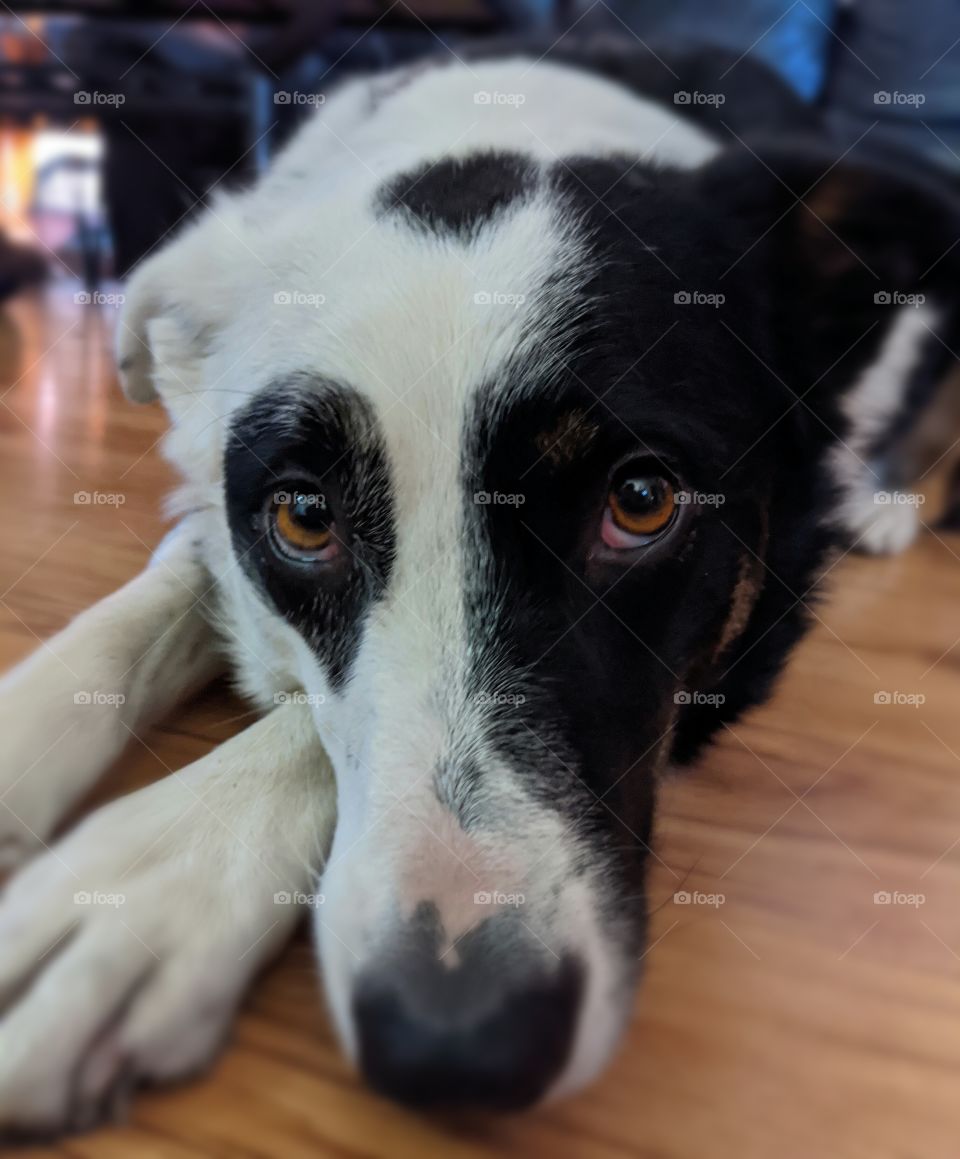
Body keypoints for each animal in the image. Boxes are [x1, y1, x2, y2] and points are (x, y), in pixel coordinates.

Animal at [1, 38, 959, 1140]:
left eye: (641, 501)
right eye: (305, 517)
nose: (455, 1050)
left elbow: (299, 728)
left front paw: (144, 877)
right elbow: (143, 616)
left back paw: (886, 500)